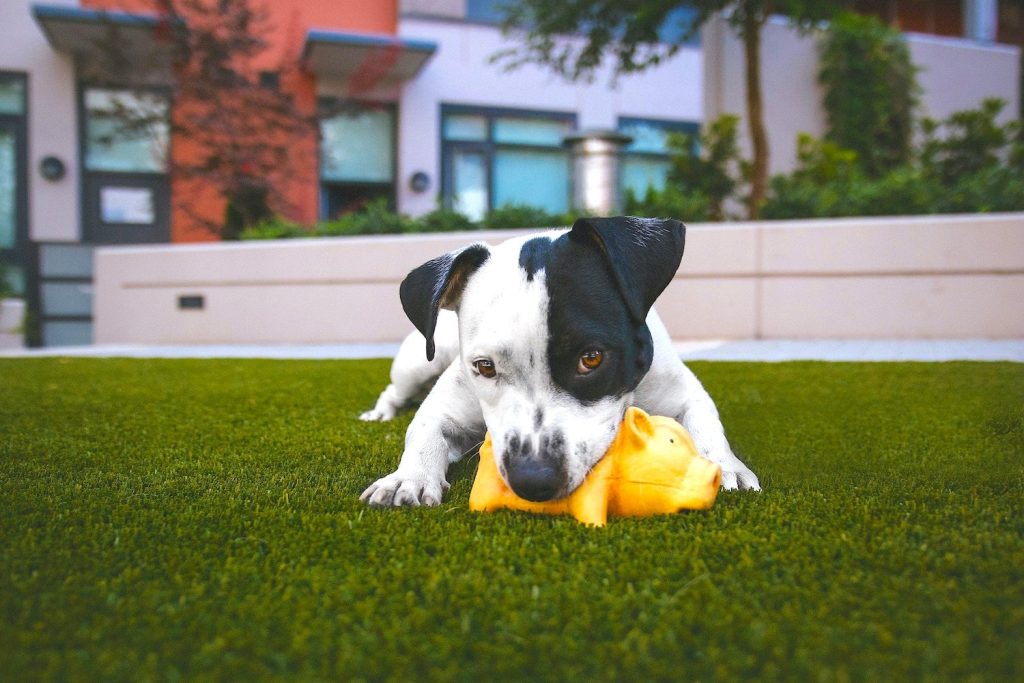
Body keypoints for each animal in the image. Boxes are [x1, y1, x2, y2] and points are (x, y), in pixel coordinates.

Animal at [360, 215, 761, 507]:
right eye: (484, 366)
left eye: (592, 358)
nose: (533, 480)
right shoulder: (446, 406)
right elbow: (423, 431)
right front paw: (407, 478)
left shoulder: (683, 392)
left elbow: (706, 424)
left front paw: (725, 466)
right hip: (418, 362)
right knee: (394, 390)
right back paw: (380, 413)